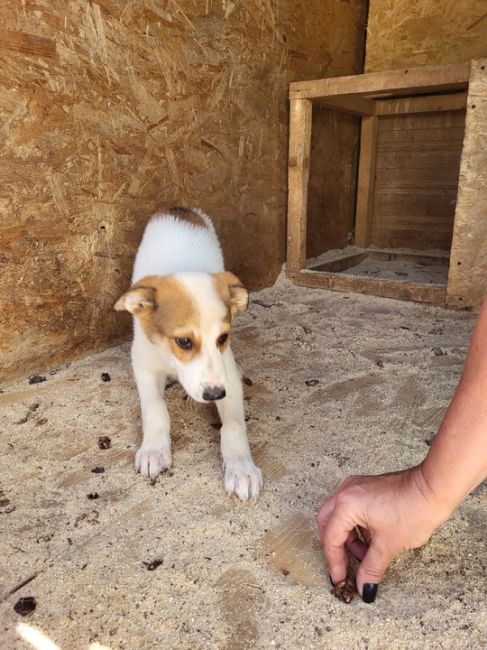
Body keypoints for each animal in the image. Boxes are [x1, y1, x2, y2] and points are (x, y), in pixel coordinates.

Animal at [115, 208, 264, 502]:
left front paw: (241, 467)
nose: (215, 395)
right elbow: (155, 407)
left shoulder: (225, 373)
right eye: (184, 341)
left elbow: (233, 425)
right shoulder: (143, 362)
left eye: (222, 338)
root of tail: (179, 209)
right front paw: (154, 449)